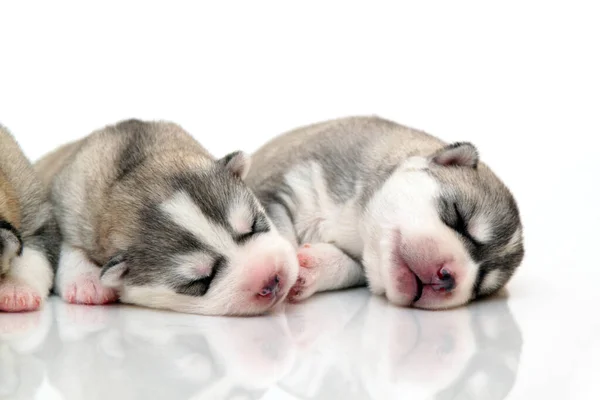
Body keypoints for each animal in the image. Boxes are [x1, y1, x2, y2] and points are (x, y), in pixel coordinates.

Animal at [35, 119, 298, 316]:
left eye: (254, 225)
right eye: (200, 280)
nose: (272, 279)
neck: (131, 172)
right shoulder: (65, 201)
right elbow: (66, 244)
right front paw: (85, 282)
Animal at [246, 115, 524, 310]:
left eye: (479, 285)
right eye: (458, 218)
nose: (448, 278)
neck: (354, 223)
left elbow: (352, 269)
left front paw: (313, 267)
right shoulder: (277, 188)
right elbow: (278, 232)